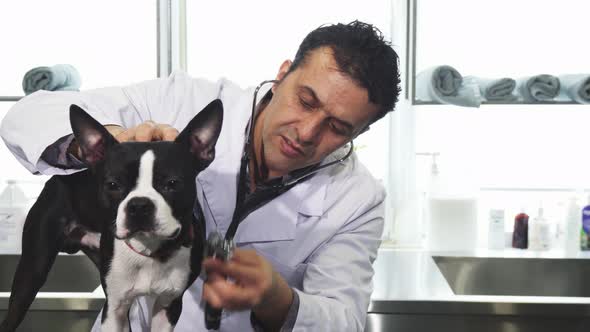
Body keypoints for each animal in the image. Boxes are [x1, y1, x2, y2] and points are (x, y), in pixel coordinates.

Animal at [0, 100, 224, 330]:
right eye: (113, 185)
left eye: (172, 183)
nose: (139, 205)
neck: (149, 249)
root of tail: (58, 178)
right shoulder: (115, 307)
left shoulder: (168, 305)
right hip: (31, 273)